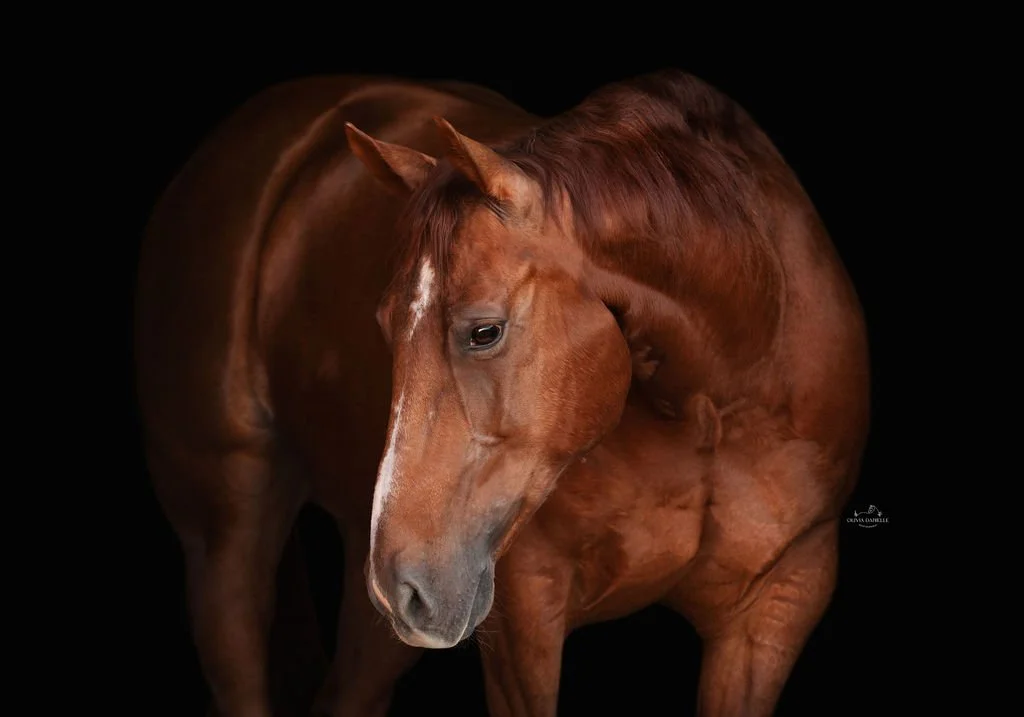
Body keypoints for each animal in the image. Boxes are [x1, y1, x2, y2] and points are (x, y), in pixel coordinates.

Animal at [136, 69, 870, 716]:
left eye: (483, 331)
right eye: (384, 325)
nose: (402, 586)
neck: (714, 402)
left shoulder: (774, 608)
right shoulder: (525, 619)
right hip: (231, 539)